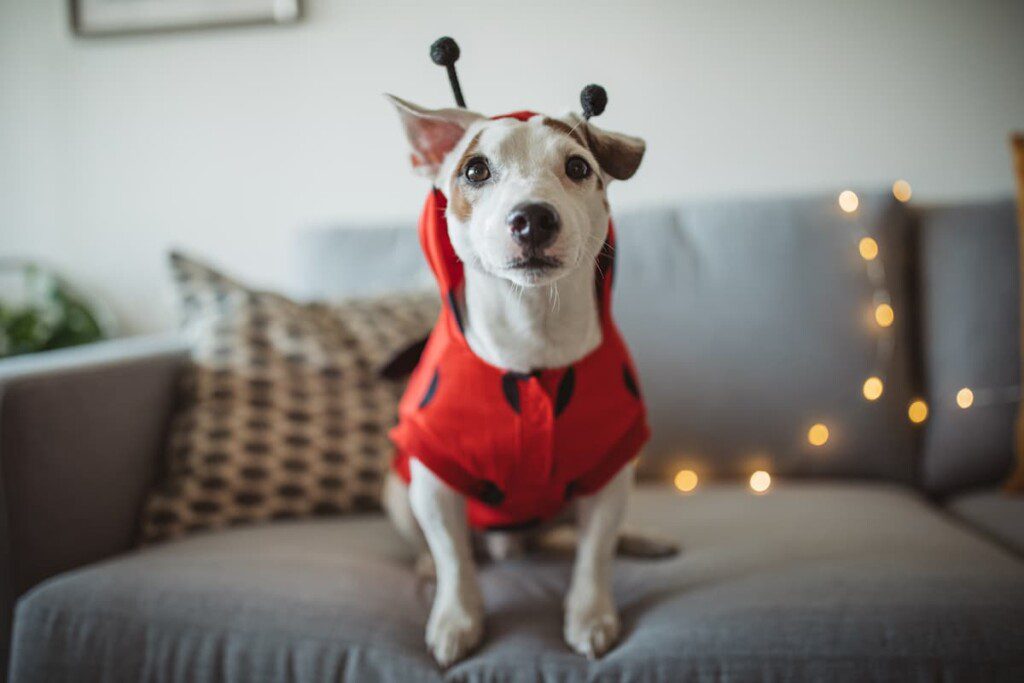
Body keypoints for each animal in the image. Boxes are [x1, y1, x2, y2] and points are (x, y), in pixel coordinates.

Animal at [380, 93, 667, 663]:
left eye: (578, 167)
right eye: (475, 170)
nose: (533, 217)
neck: (532, 331)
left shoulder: (611, 468)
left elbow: (595, 554)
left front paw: (590, 615)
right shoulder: (433, 476)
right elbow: (454, 558)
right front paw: (456, 618)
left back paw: (640, 538)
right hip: (398, 491)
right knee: (438, 545)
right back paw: (426, 564)